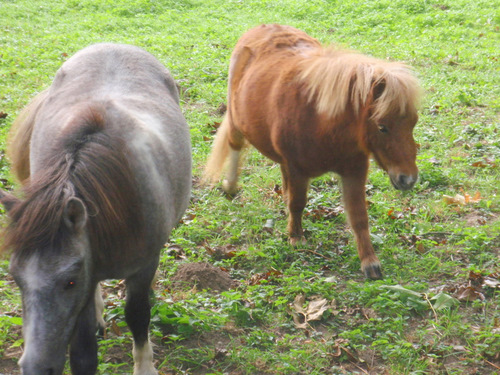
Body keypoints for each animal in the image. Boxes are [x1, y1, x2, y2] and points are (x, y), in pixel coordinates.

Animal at [203, 25, 422, 280]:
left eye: (413, 123)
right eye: (382, 127)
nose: (408, 179)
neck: (322, 121)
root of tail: (261, 28)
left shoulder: (354, 171)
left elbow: (359, 216)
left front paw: (369, 261)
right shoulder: (298, 169)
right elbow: (298, 203)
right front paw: (296, 237)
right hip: (236, 120)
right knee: (235, 145)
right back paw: (230, 186)